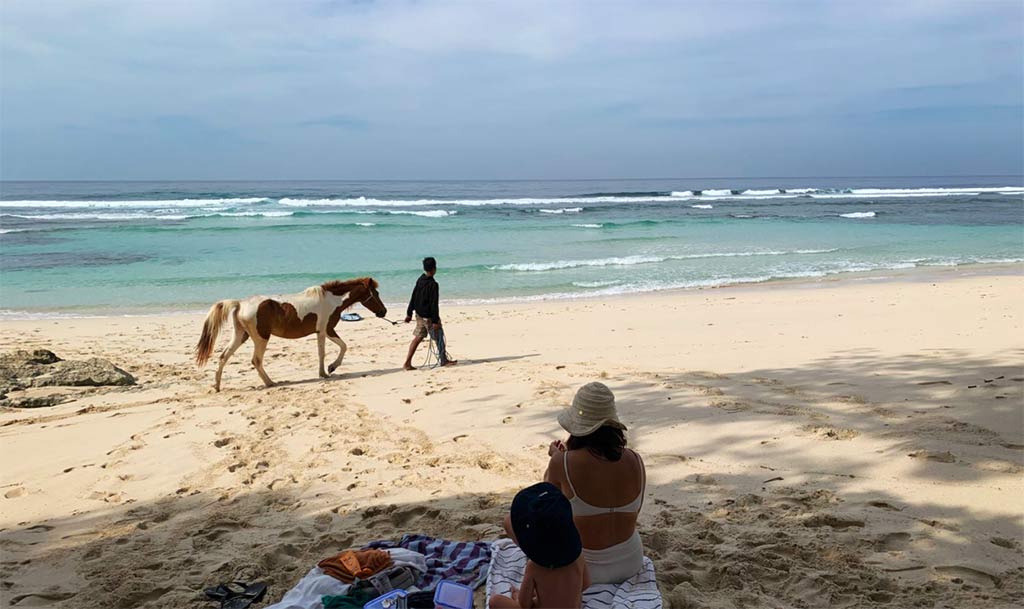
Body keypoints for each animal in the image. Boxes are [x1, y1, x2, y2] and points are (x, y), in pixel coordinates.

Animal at [194, 277, 387, 391]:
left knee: (223, 356)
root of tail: (240, 304)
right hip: (261, 338)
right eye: (376, 293)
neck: (332, 300)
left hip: (241, 336)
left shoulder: (321, 332)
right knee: (256, 360)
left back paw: (217, 386)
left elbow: (325, 352)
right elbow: (341, 347)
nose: (383, 312)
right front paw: (331, 368)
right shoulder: (327, 330)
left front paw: (325, 372)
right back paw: (270, 383)